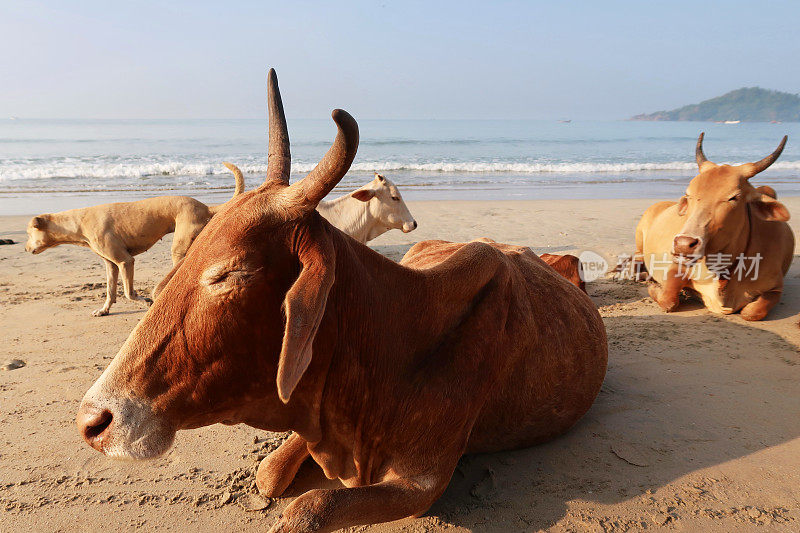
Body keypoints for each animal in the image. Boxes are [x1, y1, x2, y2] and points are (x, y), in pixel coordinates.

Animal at [25, 164, 244, 316]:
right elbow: (110, 291)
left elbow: (128, 292)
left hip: (179, 247)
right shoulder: (111, 265)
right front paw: (104, 310)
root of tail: (205, 207)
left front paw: (146, 301)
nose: (26, 249)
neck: (78, 221)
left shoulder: (125, 261)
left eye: (28, 233)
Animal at [76, 71, 608, 532]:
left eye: (230, 273)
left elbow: (310, 507)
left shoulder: (423, 483)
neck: (395, 335)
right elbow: (268, 474)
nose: (93, 421)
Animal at [636, 132, 792, 320]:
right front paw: (654, 286)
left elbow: (752, 312)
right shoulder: (677, 266)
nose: (683, 244)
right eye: (688, 194)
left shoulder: (775, 288)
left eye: (733, 197)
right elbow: (669, 300)